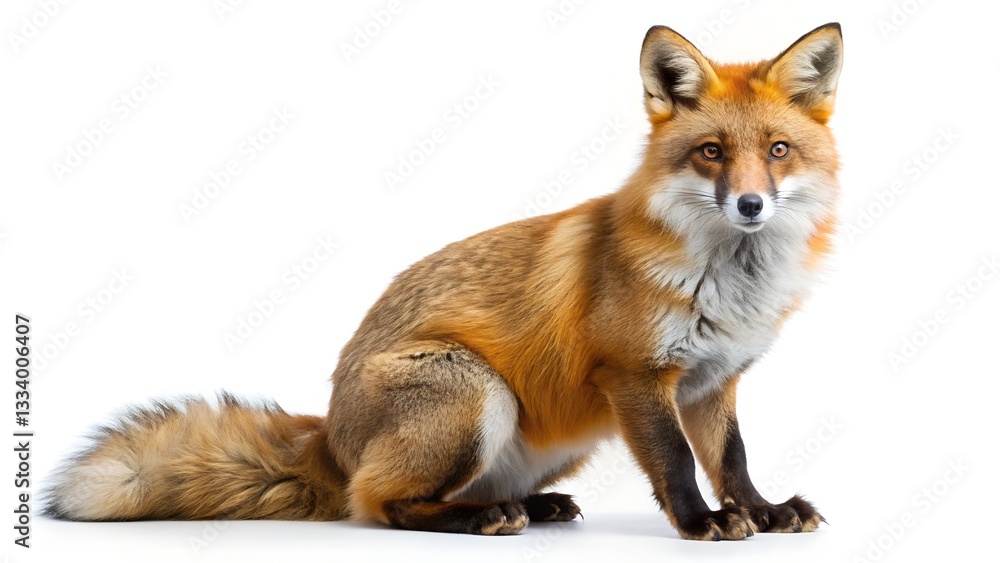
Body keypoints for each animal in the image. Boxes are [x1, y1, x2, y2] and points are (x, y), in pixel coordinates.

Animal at [45, 23, 843, 540]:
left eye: (777, 151)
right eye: (711, 152)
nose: (750, 205)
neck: (727, 281)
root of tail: (329, 436)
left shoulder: (712, 381)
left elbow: (732, 459)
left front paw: (761, 510)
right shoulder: (634, 375)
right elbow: (678, 462)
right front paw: (702, 520)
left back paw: (535, 507)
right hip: (476, 393)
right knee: (381, 503)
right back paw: (476, 517)